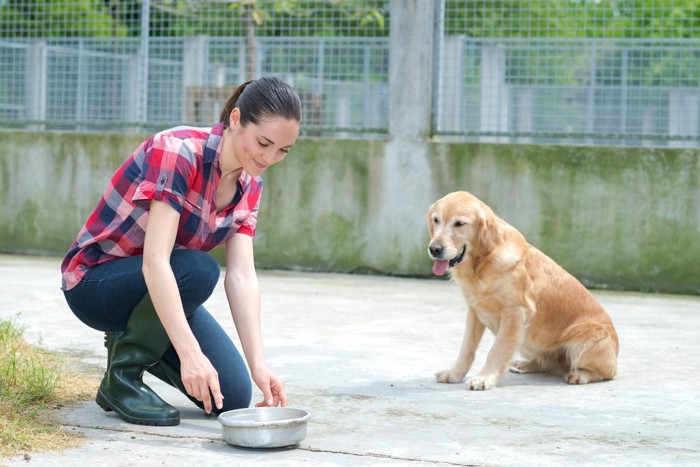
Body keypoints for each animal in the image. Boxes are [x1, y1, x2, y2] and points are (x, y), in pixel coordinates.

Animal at [426, 191, 616, 392]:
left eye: (460, 223)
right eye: (436, 220)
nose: (434, 249)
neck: (483, 263)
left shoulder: (515, 314)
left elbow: (497, 349)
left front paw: (485, 378)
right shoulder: (475, 311)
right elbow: (466, 348)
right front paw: (454, 374)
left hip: (588, 338)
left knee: (605, 373)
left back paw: (579, 375)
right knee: (547, 363)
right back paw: (524, 364)